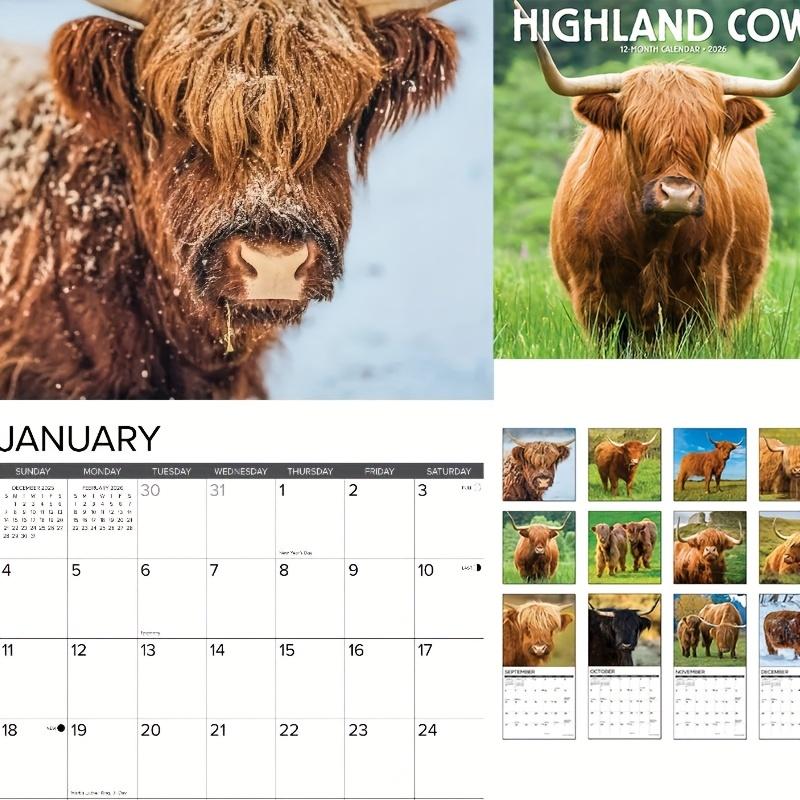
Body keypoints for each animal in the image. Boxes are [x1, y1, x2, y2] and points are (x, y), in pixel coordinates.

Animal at [516, 1, 800, 337]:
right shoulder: (594, 298)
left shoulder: (706, 295)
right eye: (635, 129)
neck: (654, 239)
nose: (677, 194)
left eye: (708, 133)